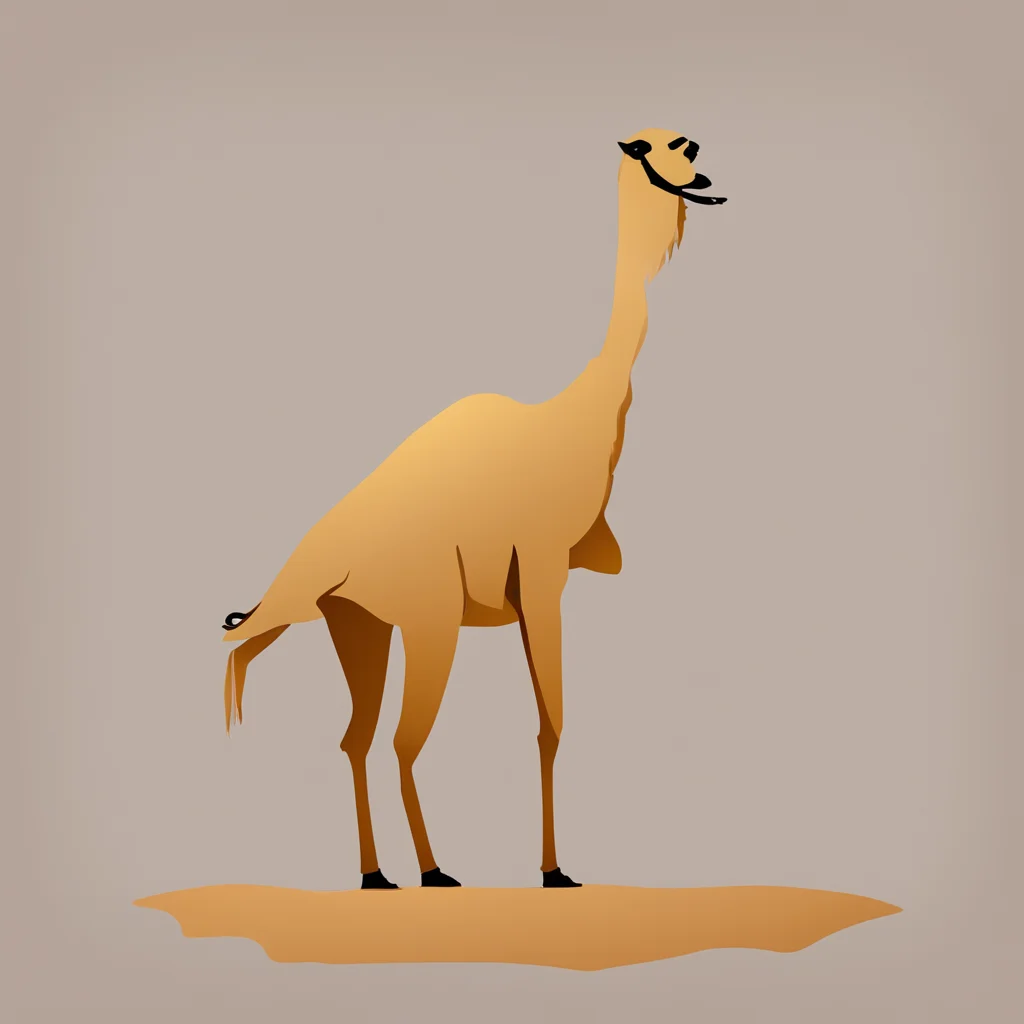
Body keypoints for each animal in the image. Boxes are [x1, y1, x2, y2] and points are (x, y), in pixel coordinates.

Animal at [221, 128, 727, 890]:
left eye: (687, 144)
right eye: (655, 146)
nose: (699, 169)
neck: (573, 422)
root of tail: (309, 570)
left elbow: (543, 720)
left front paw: (550, 867)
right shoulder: (544, 575)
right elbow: (552, 722)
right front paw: (553, 871)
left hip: (361, 624)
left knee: (355, 739)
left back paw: (376, 877)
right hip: (429, 618)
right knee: (400, 740)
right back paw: (432, 872)